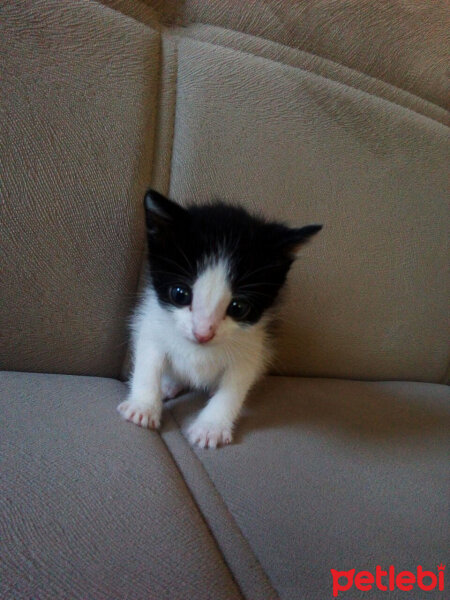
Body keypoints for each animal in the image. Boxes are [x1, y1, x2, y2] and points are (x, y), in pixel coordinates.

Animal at [116, 190, 320, 448]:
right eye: (180, 294)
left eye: (238, 307)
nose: (203, 333)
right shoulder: (152, 323)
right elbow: (148, 364)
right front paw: (143, 406)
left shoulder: (252, 347)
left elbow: (233, 387)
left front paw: (211, 427)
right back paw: (169, 384)